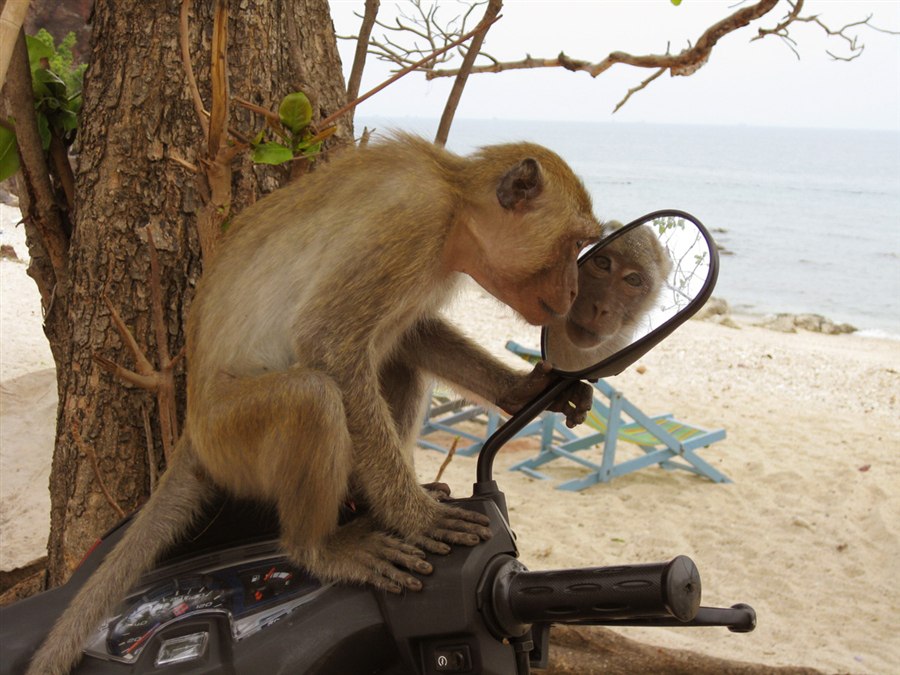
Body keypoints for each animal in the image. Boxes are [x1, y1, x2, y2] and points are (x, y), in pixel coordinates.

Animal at [28, 135, 600, 672]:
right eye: (575, 243)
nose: (576, 293)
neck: (455, 201)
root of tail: (192, 432)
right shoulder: (411, 219)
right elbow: (330, 345)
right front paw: (415, 517)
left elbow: (411, 335)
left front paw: (521, 389)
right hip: (232, 437)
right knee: (314, 395)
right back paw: (321, 547)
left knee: (396, 366)